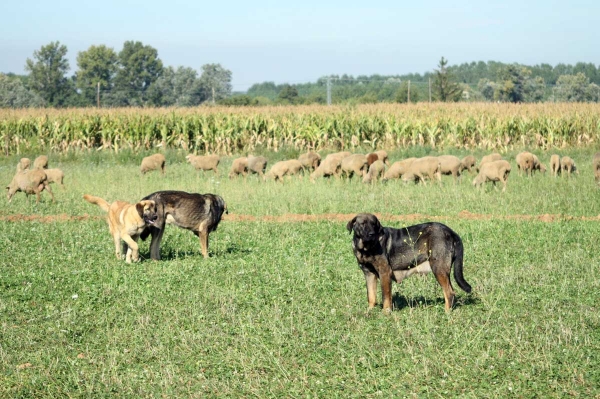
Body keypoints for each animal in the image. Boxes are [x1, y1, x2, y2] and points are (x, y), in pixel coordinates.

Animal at [346, 212, 474, 312]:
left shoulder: (384, 272)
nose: (372, 234)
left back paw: (446, 313)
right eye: (363, 223)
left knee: (449, 293)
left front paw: (386, 313)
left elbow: (386, 296)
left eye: (374, 224)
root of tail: (451, 231)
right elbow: (371, 296)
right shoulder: (369, 273)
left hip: (438, 268)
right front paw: (370, 311)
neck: (365, 248)